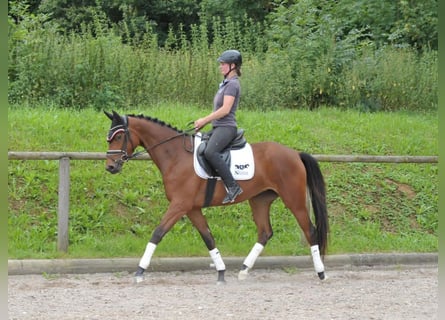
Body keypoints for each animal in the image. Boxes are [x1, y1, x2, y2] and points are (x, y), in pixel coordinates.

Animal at [103, 109, 326, 282]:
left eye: (119, 137)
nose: (110, 167)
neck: (175, 156)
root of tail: (295, 153)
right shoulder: (192, 208)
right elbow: (208, 238)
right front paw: (221, 272)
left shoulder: (179, 205)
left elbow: (158, 233)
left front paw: (140, 271)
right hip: (260, 200)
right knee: (265, 233)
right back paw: (243, 271)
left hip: (294, 200)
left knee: (310, 230)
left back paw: (321, 273)